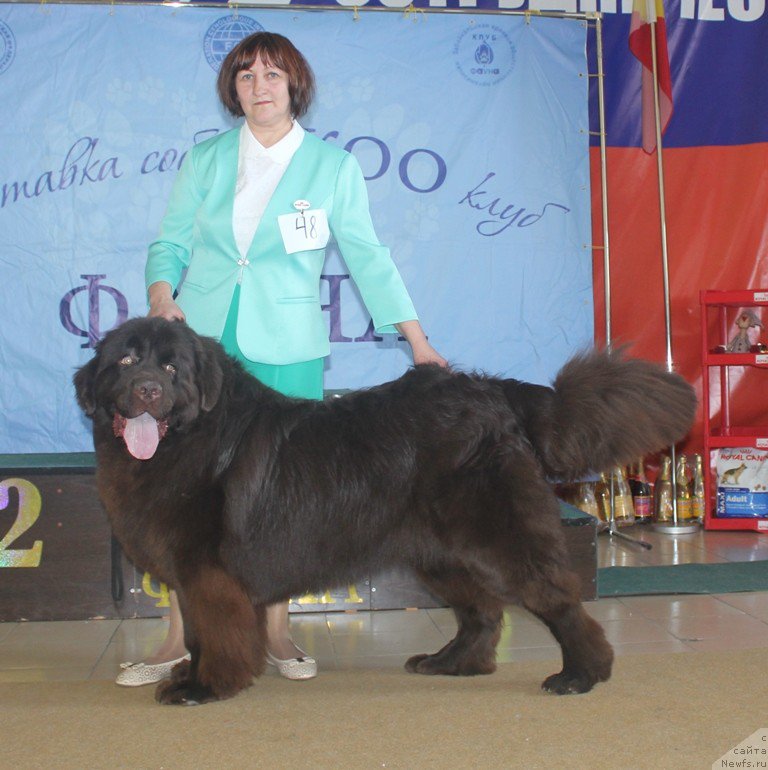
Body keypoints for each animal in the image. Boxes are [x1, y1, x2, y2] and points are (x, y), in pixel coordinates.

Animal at [73, 316, 696, 704]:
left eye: (172, 369)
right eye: (125, 360)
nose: (148, 389)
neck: (189, 440)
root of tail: (496, 392)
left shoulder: (209, 571)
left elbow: (218, 633)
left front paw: (204, 687)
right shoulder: (193, 574)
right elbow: (200, 632)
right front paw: (189, 672)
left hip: (495, 536)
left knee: (555, 600)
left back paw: (581, 674)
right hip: (439, 551)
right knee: (482, 610)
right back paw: (451, 663)